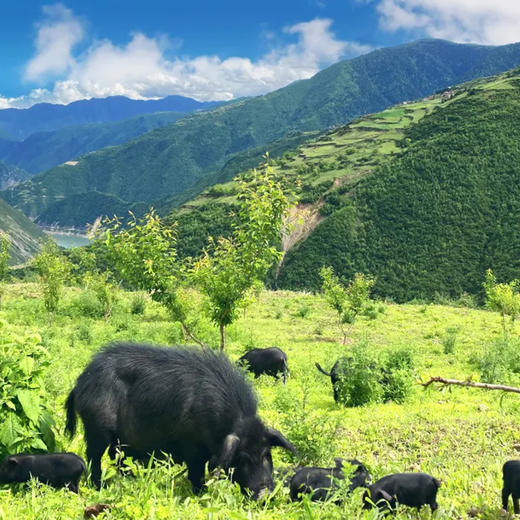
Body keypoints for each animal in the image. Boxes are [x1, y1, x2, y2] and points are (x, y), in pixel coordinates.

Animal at [66, 344, 296, 498]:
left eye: (267, 454)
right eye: (242, 459)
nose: (265, 495)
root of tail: (80, 382)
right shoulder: (191, 445)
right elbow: (196, 472)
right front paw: (200, 494)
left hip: (118, 438)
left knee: (117, 457)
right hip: (97, 427)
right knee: (95, 456)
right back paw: (99, 487)